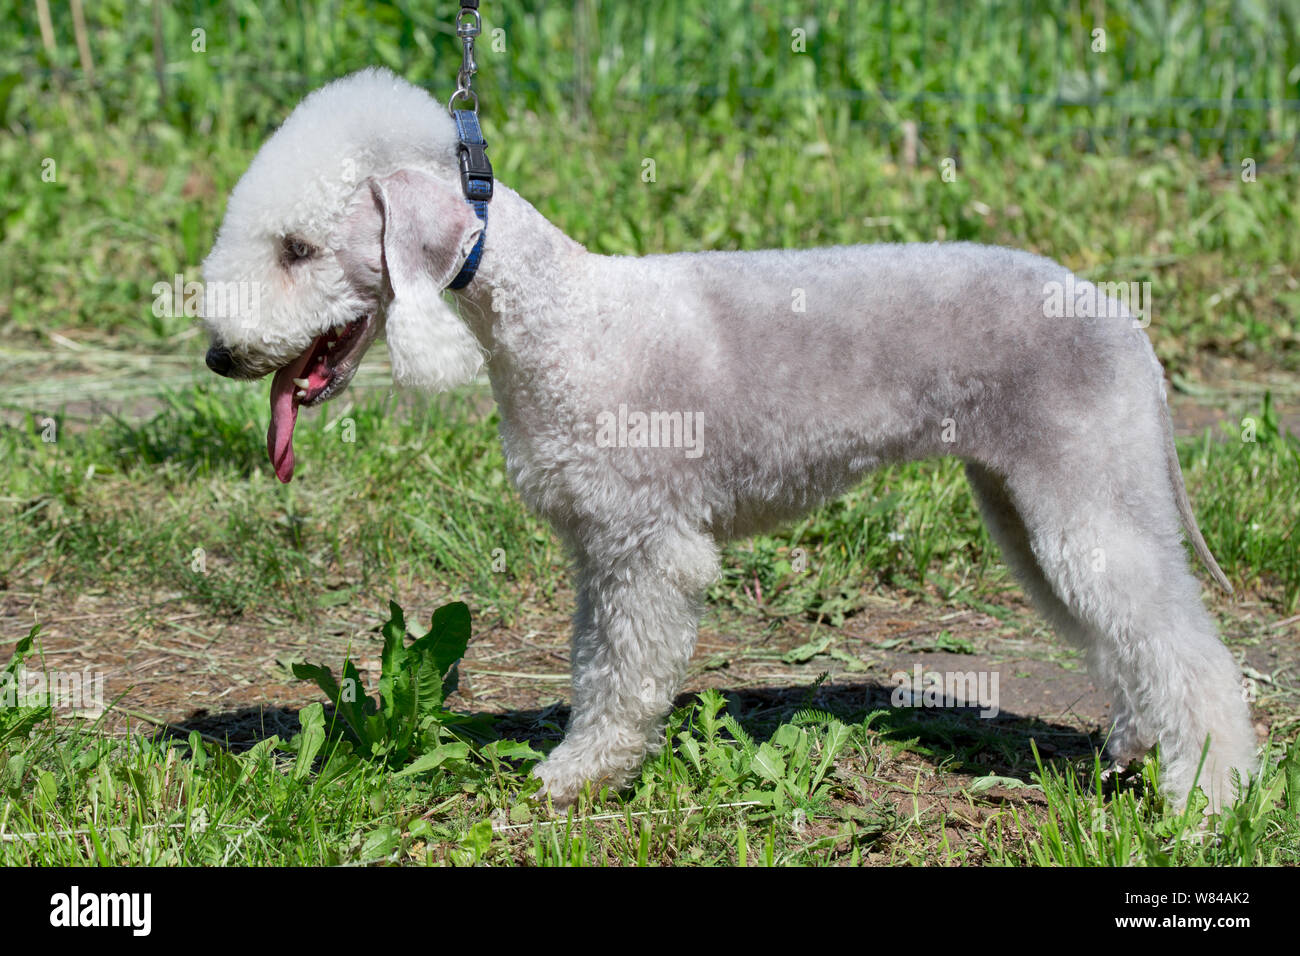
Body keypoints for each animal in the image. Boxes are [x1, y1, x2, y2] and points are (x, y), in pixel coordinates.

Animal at [202, 70, 1258, 811]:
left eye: (296, 248)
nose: (219, 354)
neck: (558, 321)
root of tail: (1124, 321)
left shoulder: (644, 543)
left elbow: (625, 674)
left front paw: (577, 776)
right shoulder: (599, 548)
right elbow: (593, 659)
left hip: (1087, 492)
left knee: (1190, 655)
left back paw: (1209, 800)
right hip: (1027, 505)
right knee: (1125, 637)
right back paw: (1135, 751)